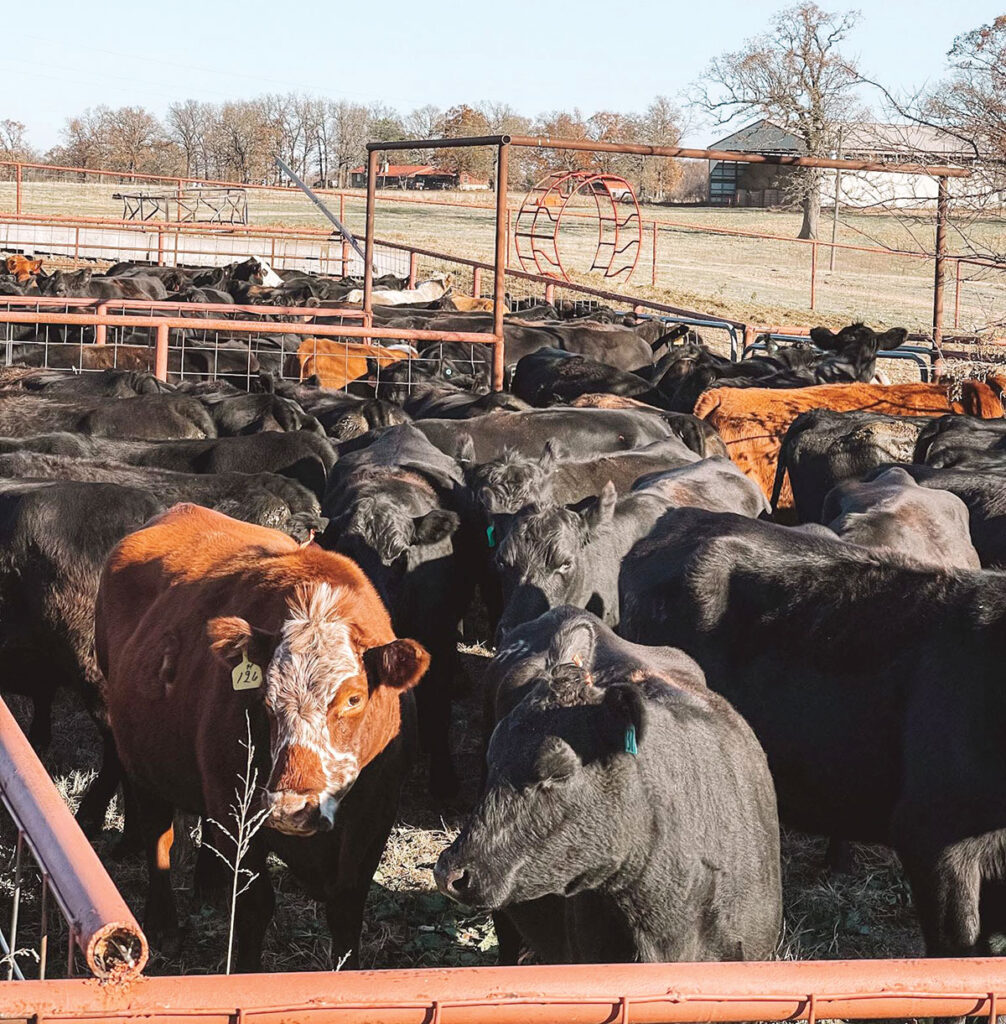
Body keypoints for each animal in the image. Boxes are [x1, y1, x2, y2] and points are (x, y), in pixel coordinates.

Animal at [90, 503, 428, 966]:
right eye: (265, 699)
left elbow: (347, 909)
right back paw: (163, 925)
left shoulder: (375, 818)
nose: (291, 808)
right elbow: (255, 904)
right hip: (141, 762)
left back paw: (211, 885)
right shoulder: (236, 808)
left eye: (354, 698)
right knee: (158, 835)